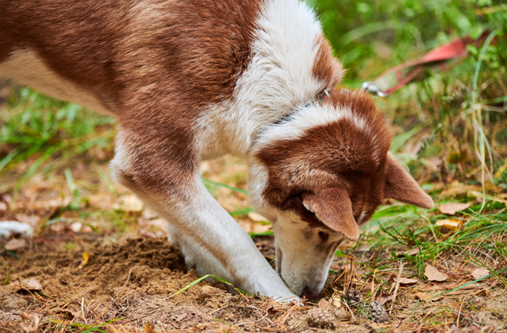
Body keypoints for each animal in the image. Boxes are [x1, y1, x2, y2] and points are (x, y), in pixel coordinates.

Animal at [0, 0, 432, 300]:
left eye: (336, 238)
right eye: (320, 230)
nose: (313, 294)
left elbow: (196, 224)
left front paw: (203, 264)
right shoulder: (148, 159)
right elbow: (233, 236)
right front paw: (277, 297)